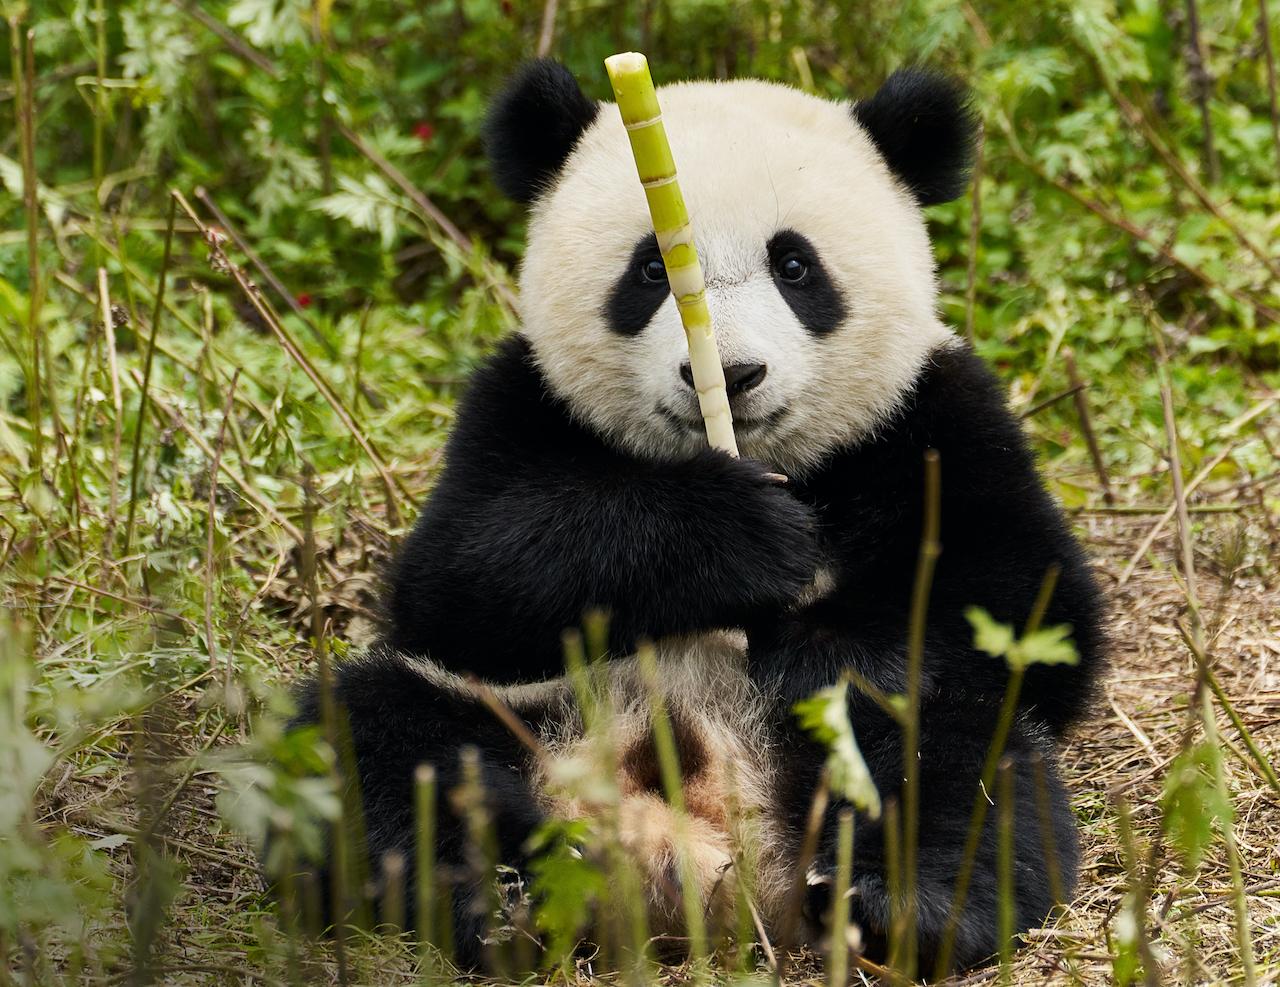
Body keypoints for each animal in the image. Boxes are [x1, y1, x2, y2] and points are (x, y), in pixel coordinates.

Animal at [281, 60, 1104, 975]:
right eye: (648, 270)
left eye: (795, 265)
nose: (732, 375)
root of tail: (701, 852)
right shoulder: (520, 406)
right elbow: (458, 583)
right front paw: (741, 536)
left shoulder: (932, 414)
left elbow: (1026, 603)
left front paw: (808, 640)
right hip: (516, 713)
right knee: (377, 743)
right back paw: (504, 894)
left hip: (879, 751)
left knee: (961, 769)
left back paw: (900, 905)